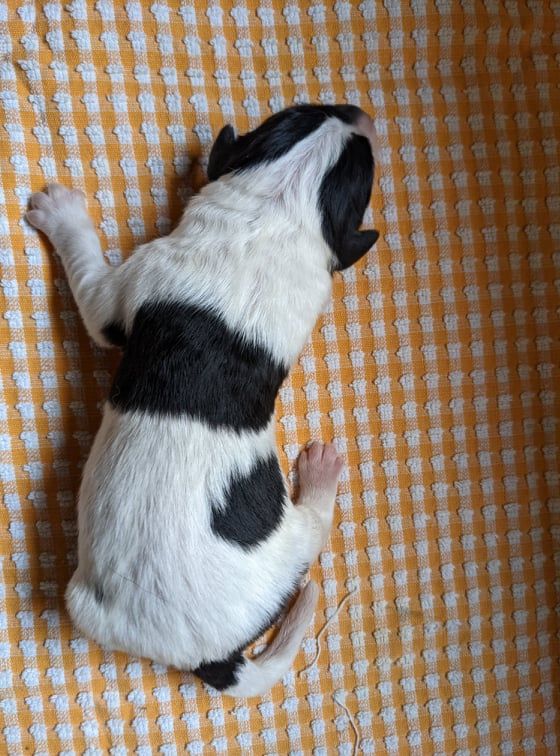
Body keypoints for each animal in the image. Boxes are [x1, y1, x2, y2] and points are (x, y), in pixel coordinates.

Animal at [26, 104, 378, 698]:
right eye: (303, 112)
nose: (359, 112)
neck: (277, 205)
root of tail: (213, 658)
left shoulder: (122, 290)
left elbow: (92, 292)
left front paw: (62, 213)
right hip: (86, 604)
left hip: (291, 544)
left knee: (315, 528)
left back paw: (320, 474)